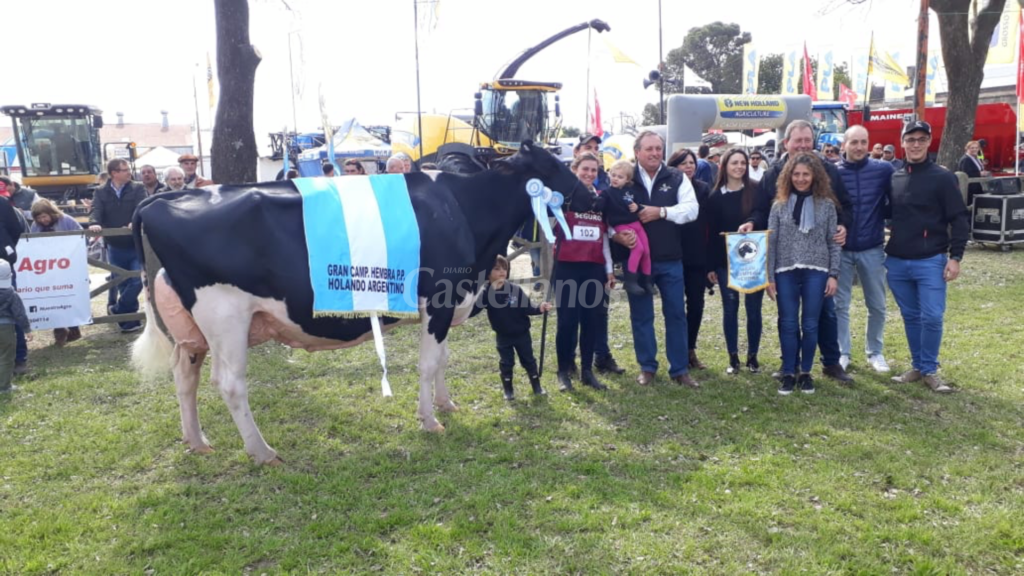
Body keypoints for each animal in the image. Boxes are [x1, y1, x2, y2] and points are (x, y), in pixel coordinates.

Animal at [132, 141, 589, 463]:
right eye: (552, 166)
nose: (590, 194)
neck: (462, 210)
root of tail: (163, 198)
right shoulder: (437, 301)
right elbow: (428, 364)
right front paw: (430, 420)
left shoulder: (444, 305)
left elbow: (442, 360)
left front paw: (447, 404)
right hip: (226, 316)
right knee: (229, 384)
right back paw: (263, 452)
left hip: (193, 331)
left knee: (185, 376)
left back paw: (197, 441)